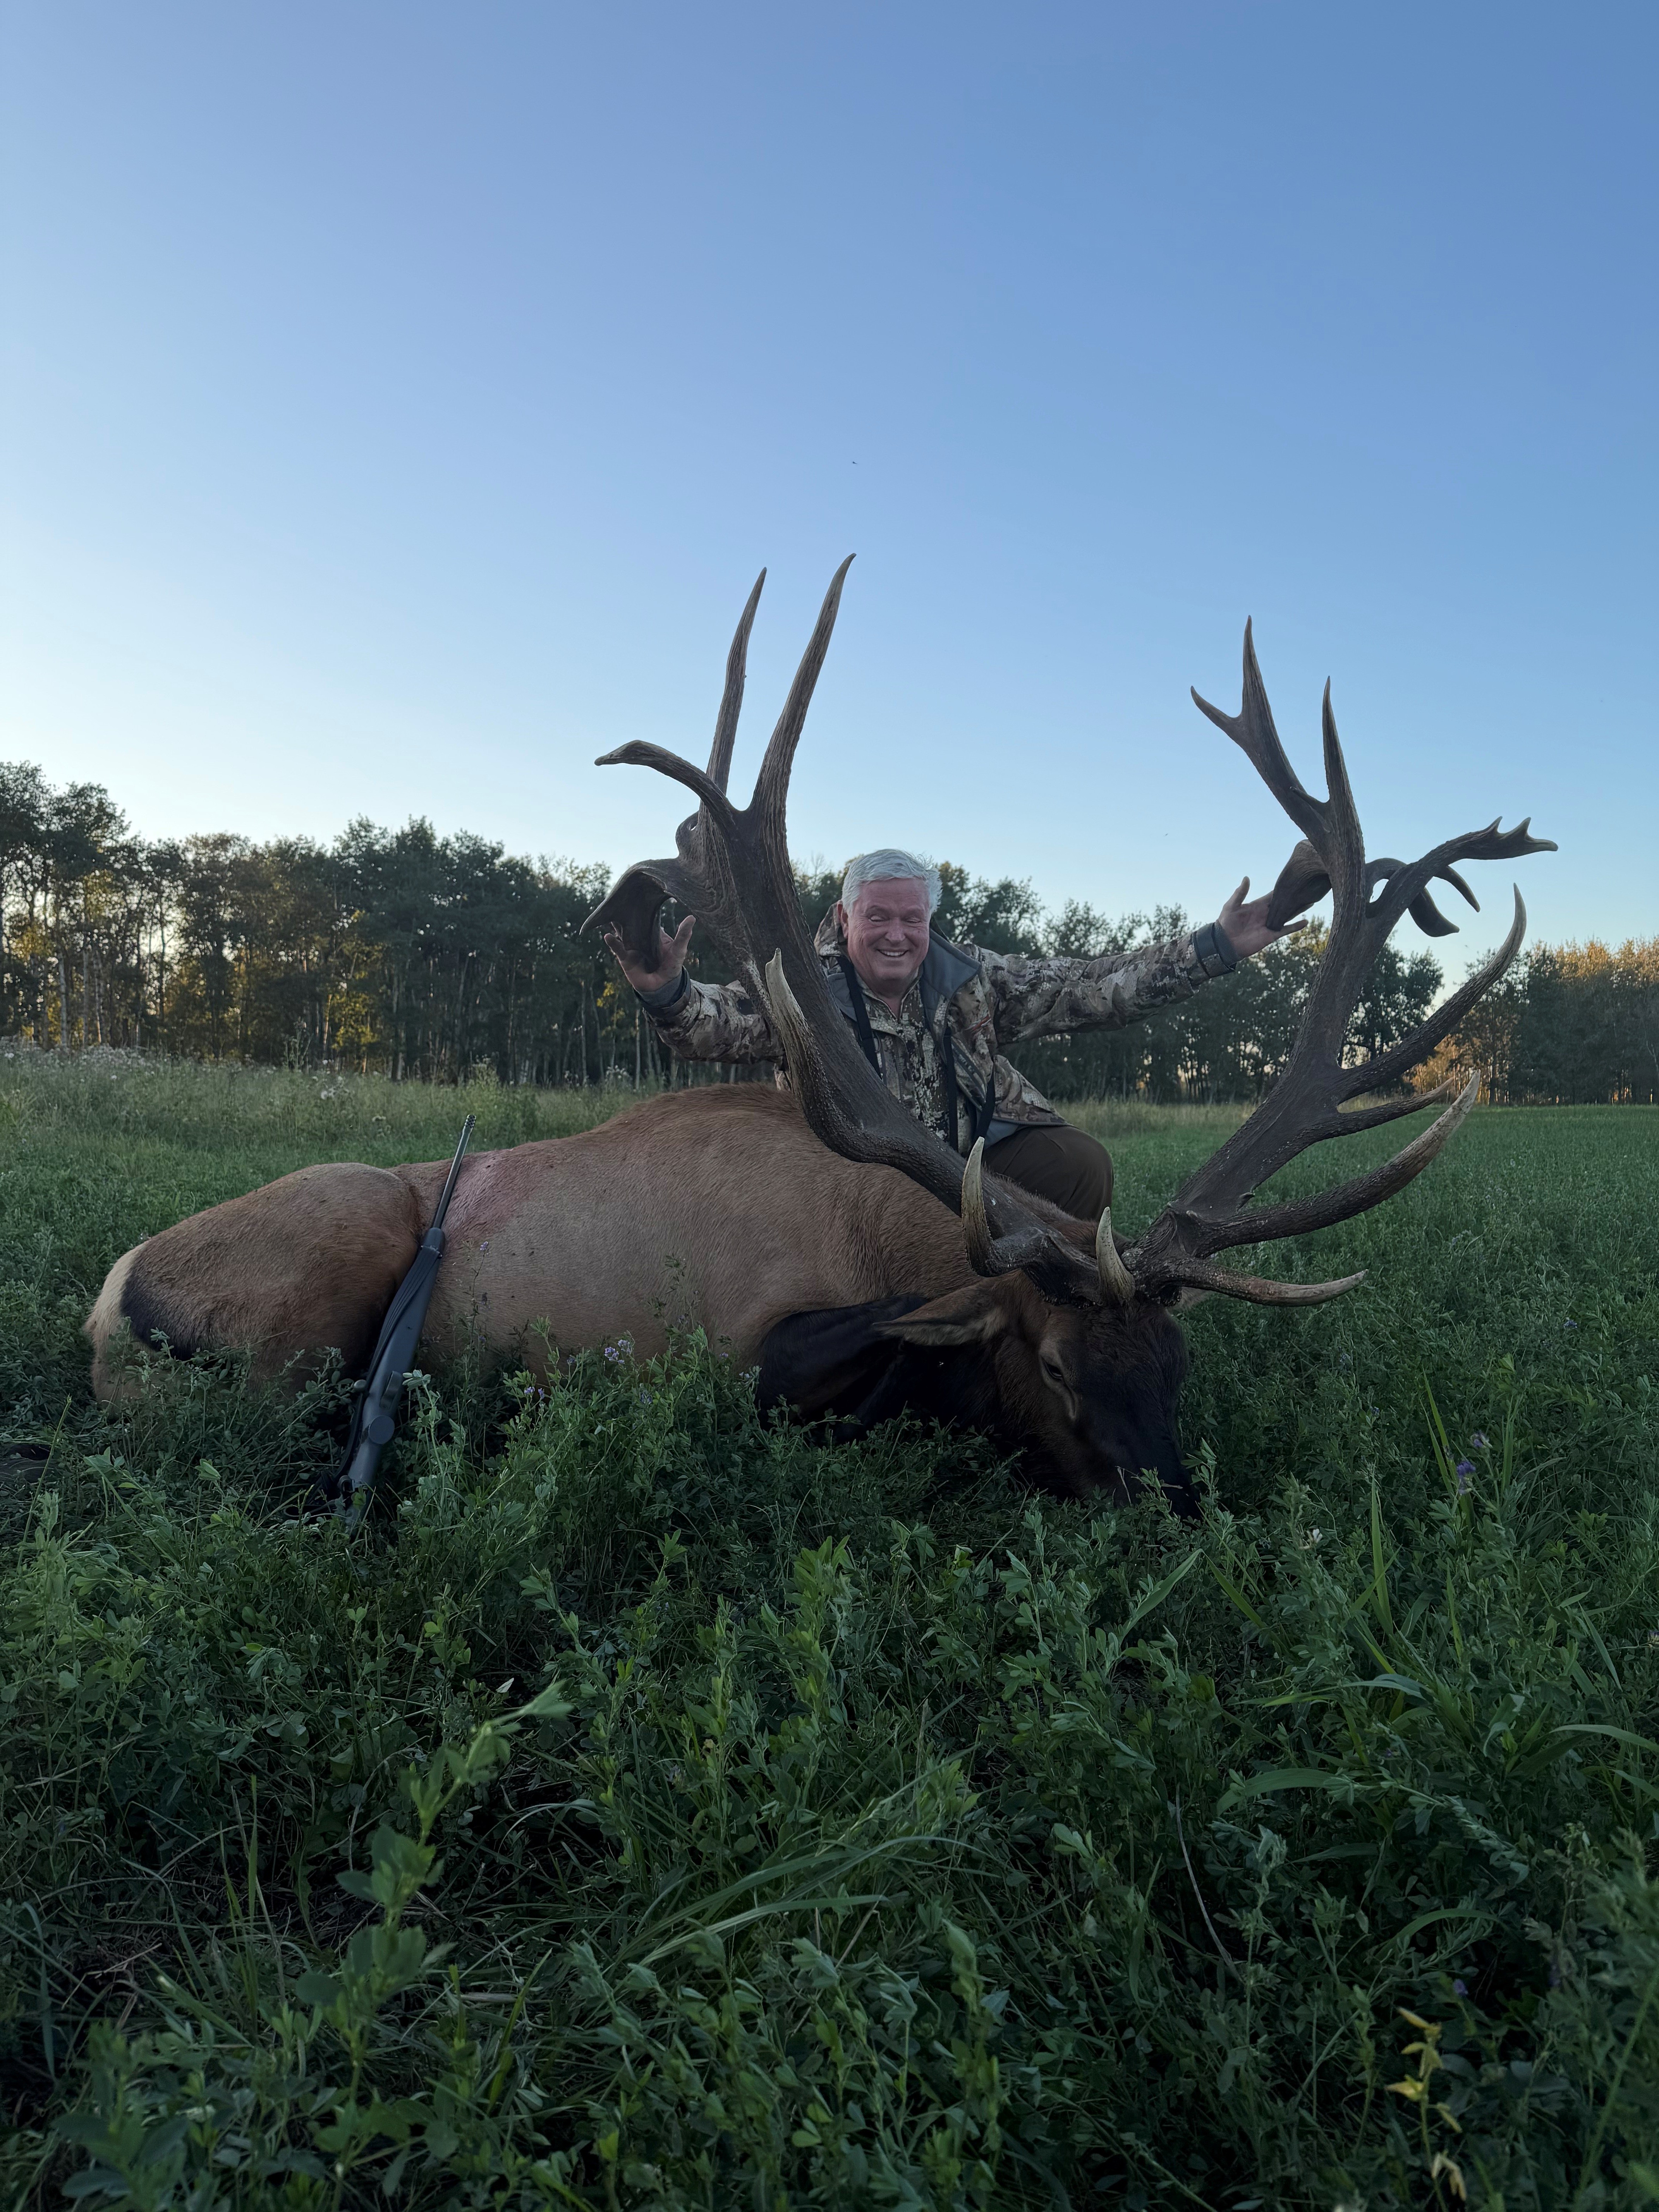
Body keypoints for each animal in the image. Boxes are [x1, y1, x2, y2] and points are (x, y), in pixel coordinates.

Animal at [85, 565, 1553, 1514]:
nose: (1179, 1520)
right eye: (1058, 1367)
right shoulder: (736, 1343)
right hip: (319, 1269)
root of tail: (113, 1291)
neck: (885, 1235)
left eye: (1182, 1368)